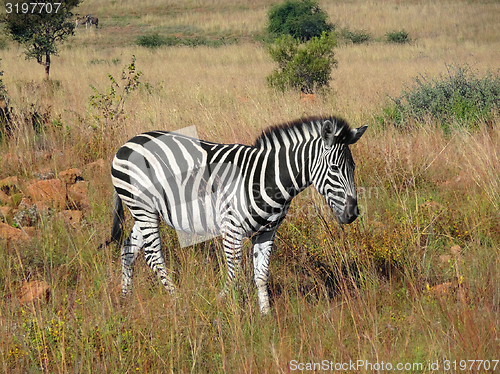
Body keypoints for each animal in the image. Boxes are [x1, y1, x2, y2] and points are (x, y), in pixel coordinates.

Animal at [110, 117, 368, 316]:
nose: (352, 214)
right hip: (143, 208)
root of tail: (127, 144)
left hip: (145, 211)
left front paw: (266, 317)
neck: (266, 178)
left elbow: (261, 275)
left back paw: (125, 299)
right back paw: (176, 300)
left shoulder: (267, 232)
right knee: (153, 256)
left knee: (129, 249)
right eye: (334, 168)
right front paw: (224, 304)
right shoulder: (231, 229)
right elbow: (234, 276)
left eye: (354, 167)